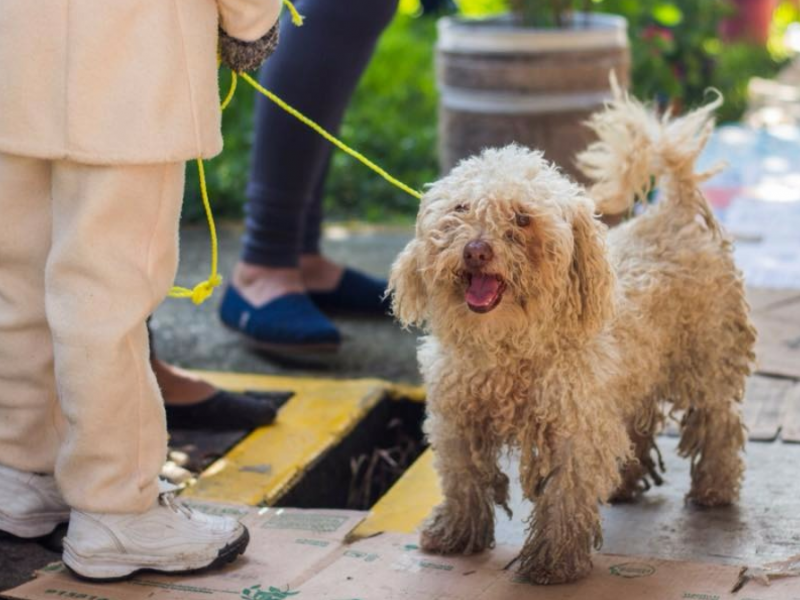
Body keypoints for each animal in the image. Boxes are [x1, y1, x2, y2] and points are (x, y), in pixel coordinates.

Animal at [390, 91, 760, 584]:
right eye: (461, 209)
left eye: (522, 218)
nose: (477, 250)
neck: (508, 348)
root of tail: (673, 210)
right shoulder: (458, 417)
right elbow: (463, 477)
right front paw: (455, 533)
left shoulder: (574, 425)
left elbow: (565, 496)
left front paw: (554, 561)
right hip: (632, 378)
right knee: (635, 429)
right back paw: (627, 483)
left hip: (708, 360)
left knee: (720, 423)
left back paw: (715, 488)